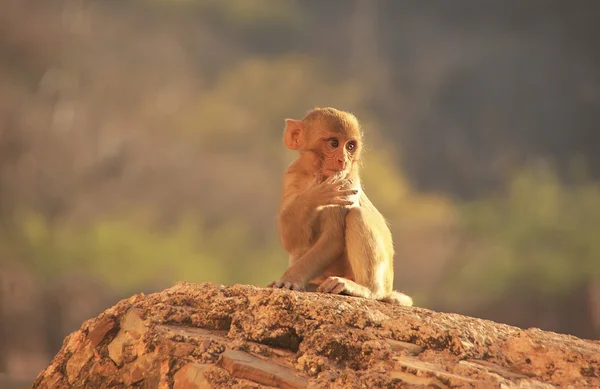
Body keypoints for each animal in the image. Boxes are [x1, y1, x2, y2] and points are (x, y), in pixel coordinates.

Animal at [270, 107, 414, 306]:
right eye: (334, 143)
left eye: (350, 146)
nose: (343, 160)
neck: (314, 173)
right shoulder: (291, 175)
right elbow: (292, 241)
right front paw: (315, 196)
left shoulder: (347, 181)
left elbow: (333, 238)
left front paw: (290, 279)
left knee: (357, 215)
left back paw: (366, 289)